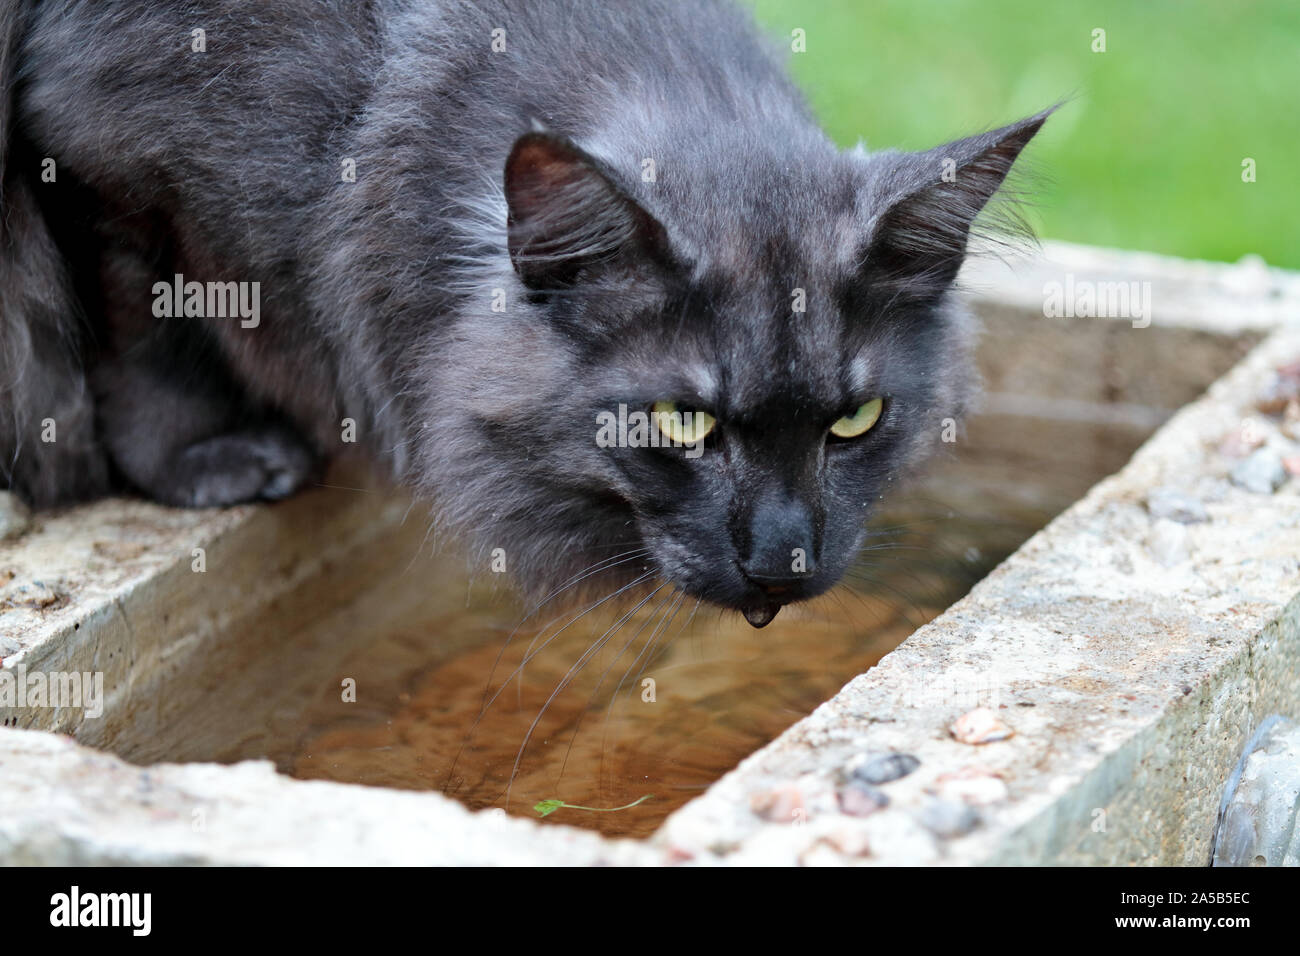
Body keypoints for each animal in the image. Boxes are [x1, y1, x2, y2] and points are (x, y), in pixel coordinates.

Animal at [0, 0, 1050, 629]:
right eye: (681, 423)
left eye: (857, 420)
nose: (783, 564)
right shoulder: (100, 158)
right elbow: (150, 322)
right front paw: (210, 460)